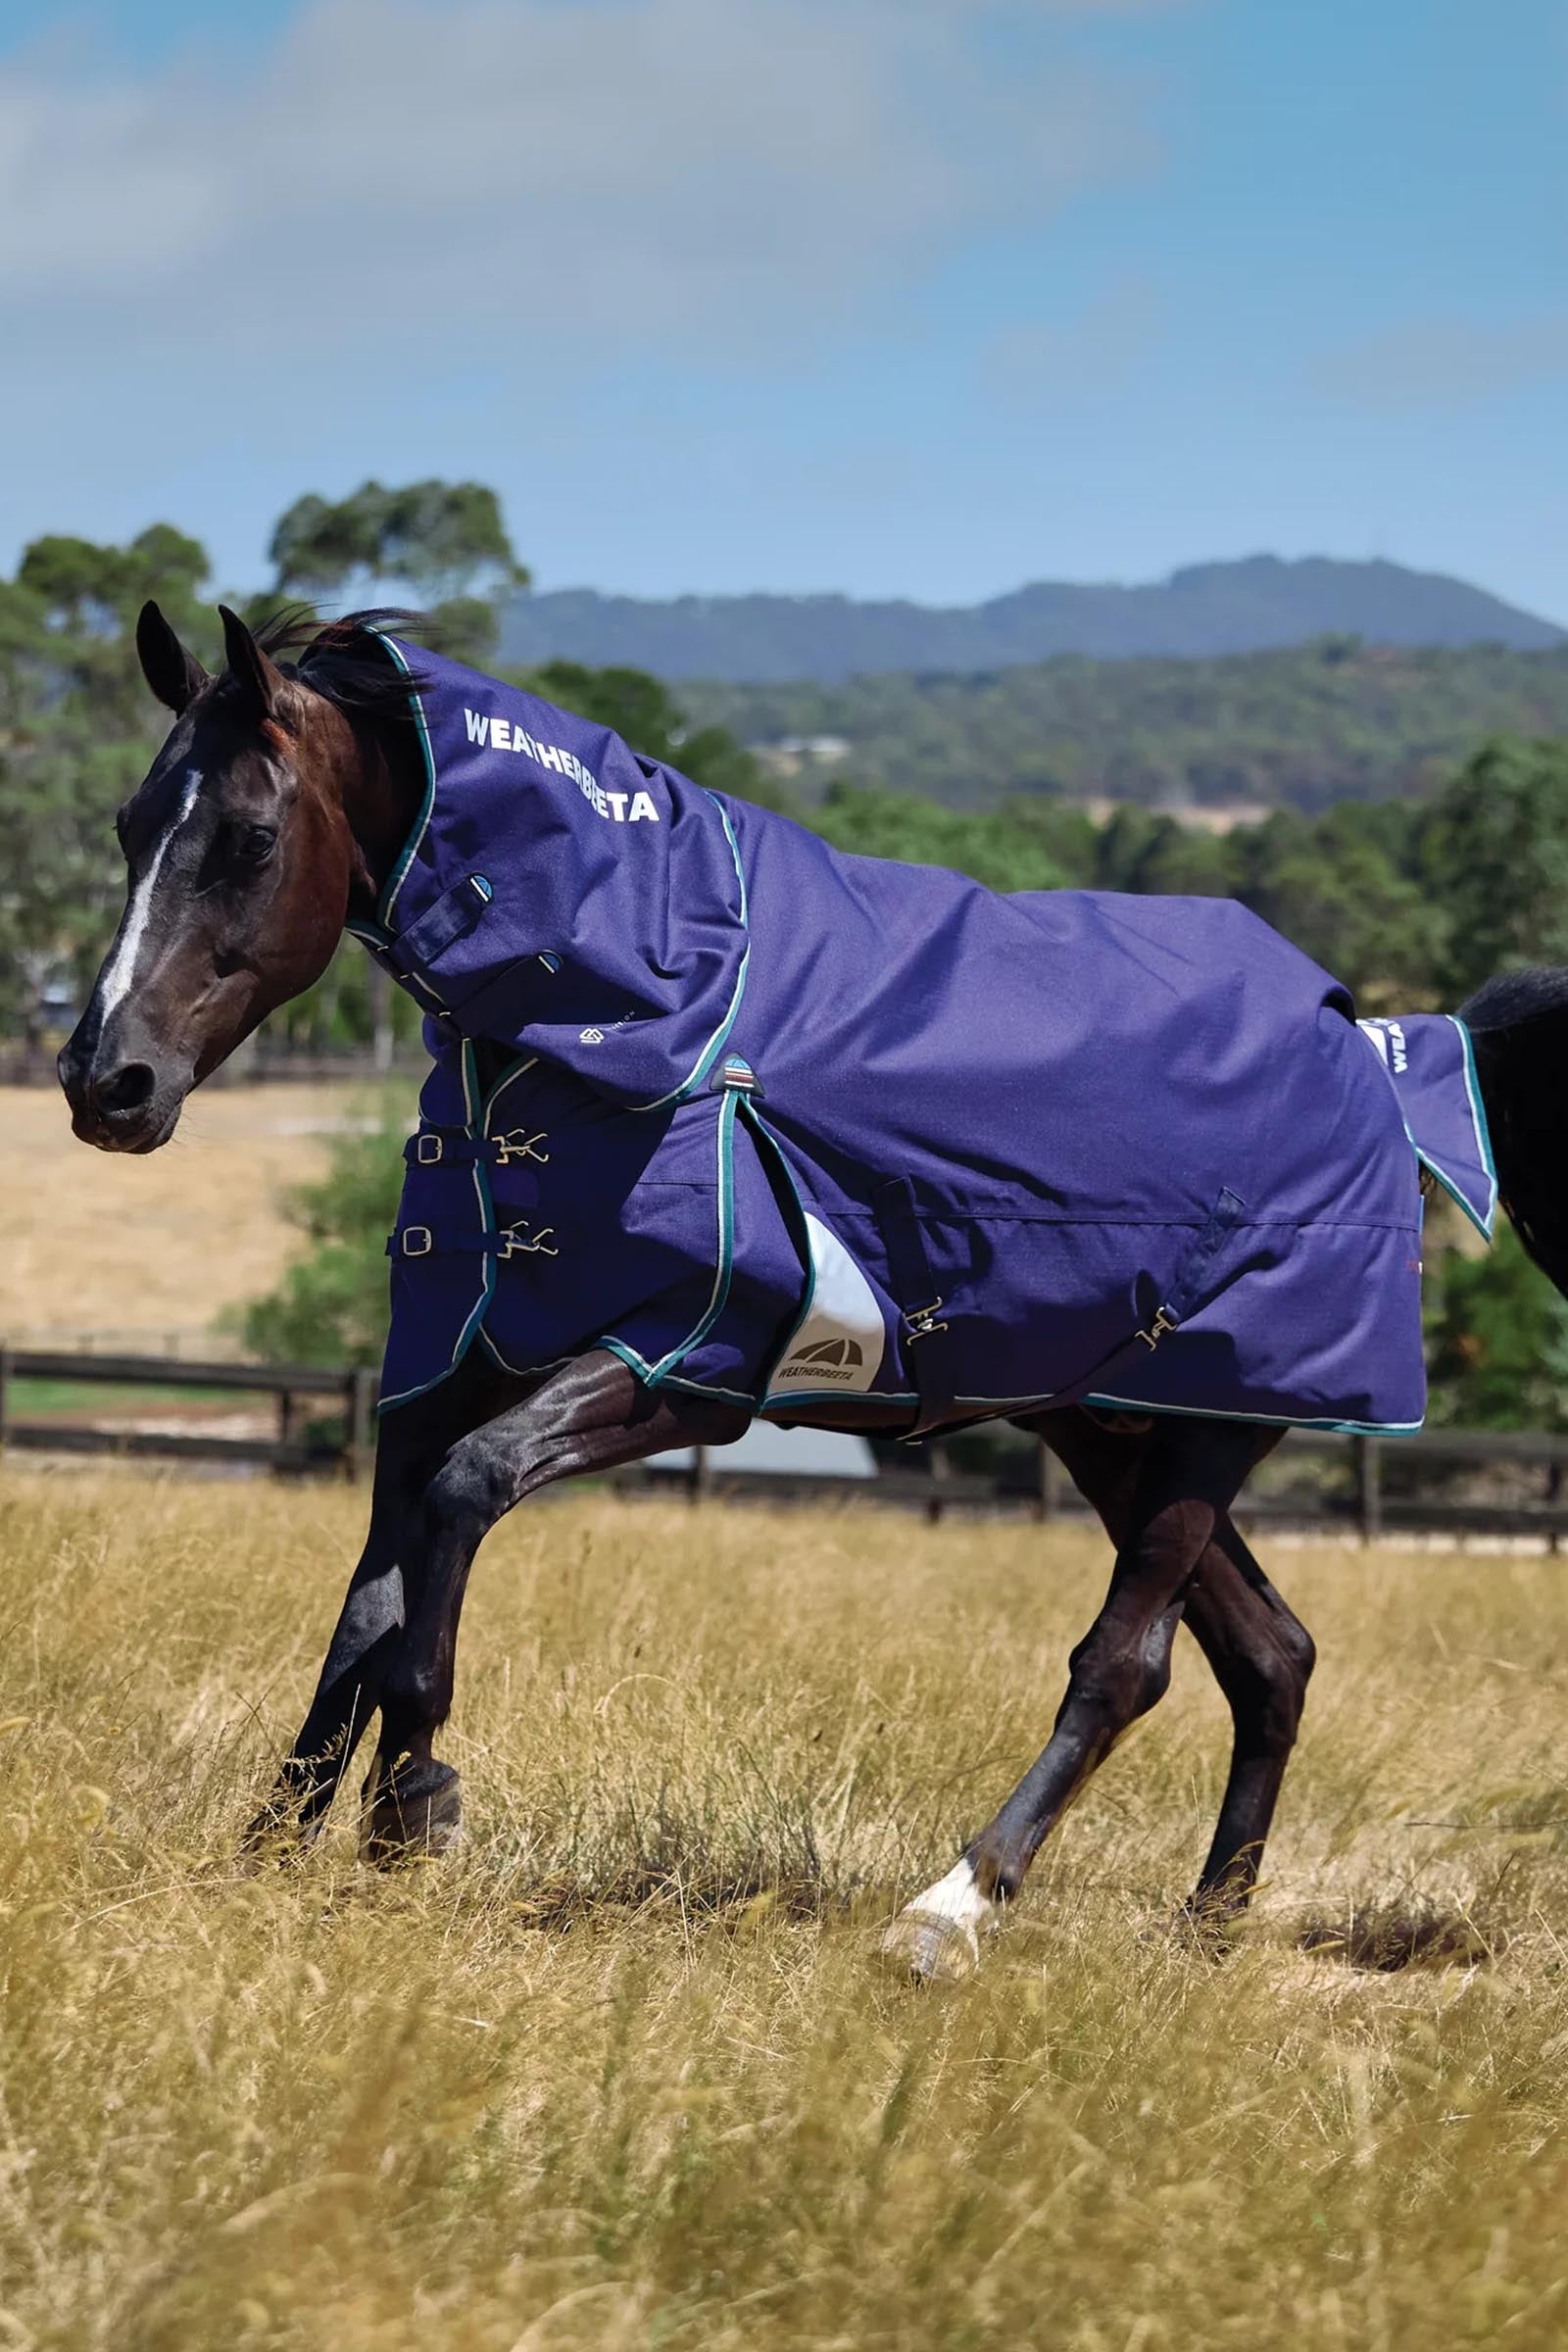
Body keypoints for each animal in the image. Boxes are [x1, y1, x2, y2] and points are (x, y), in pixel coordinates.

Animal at [57, 601, 1568, 1981]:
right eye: (130, 825)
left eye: (250, 838)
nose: (105, 1082)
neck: (646, 1002)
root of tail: (1374, 1047)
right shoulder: (456, 1354)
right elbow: (369, 1606)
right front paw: (283, 1852)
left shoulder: (686, 1367)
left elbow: (460, 1509)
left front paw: (413, 1808)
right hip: (1110, 1421)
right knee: (1272, 1655)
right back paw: (1205, 1931)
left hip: (1213, 1420)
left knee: (1126, 1665)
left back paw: (951, 1910)